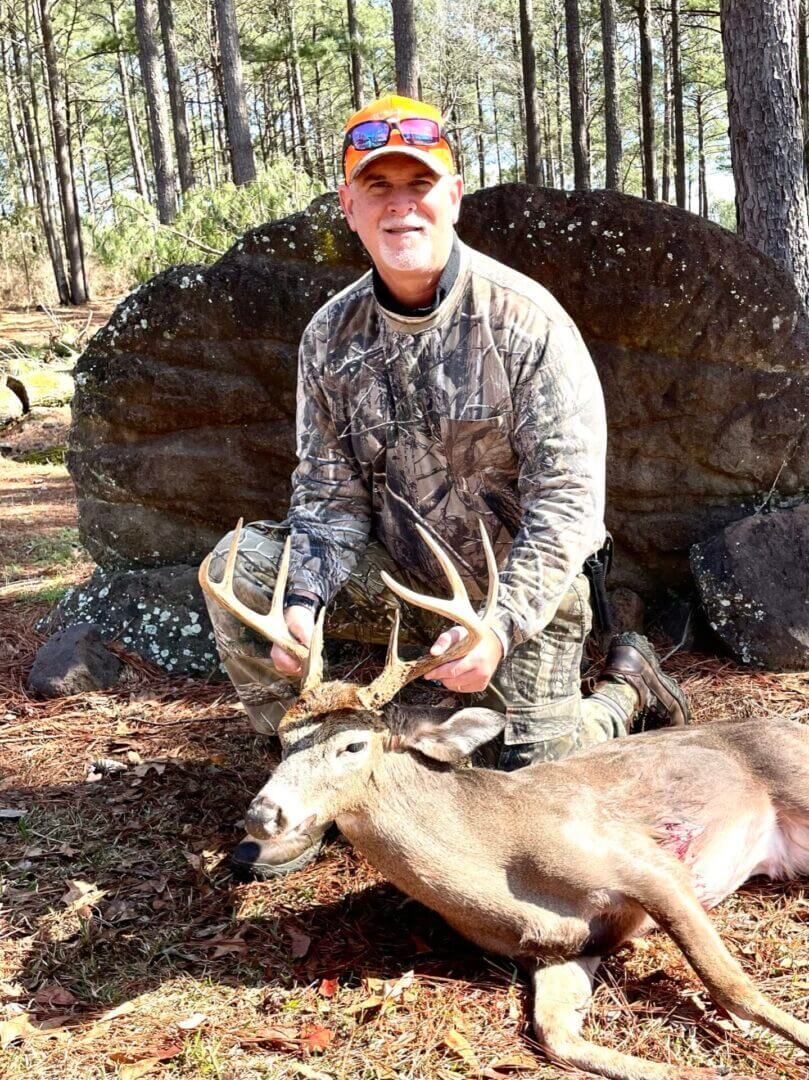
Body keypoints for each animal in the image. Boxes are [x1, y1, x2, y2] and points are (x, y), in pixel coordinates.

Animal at [200, 519, 809, 1080]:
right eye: (283, 736)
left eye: (352, 744)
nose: (262, 814)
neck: (500, 866)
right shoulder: (562, 949)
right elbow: (557, 1037)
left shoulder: (646, 863)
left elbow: (734, 987)